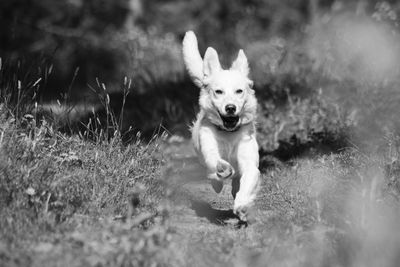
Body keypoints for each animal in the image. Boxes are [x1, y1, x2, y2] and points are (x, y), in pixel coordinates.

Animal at [182, 31, 260, 222]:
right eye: (218, 92)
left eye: (239, 91)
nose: (230, 108)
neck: (229, 133)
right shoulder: (210, 149)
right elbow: (215, 162)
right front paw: (222, 170)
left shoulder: (249, 163)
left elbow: (247, 182)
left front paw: (242, 206)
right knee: (213, 175)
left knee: (236, 183)